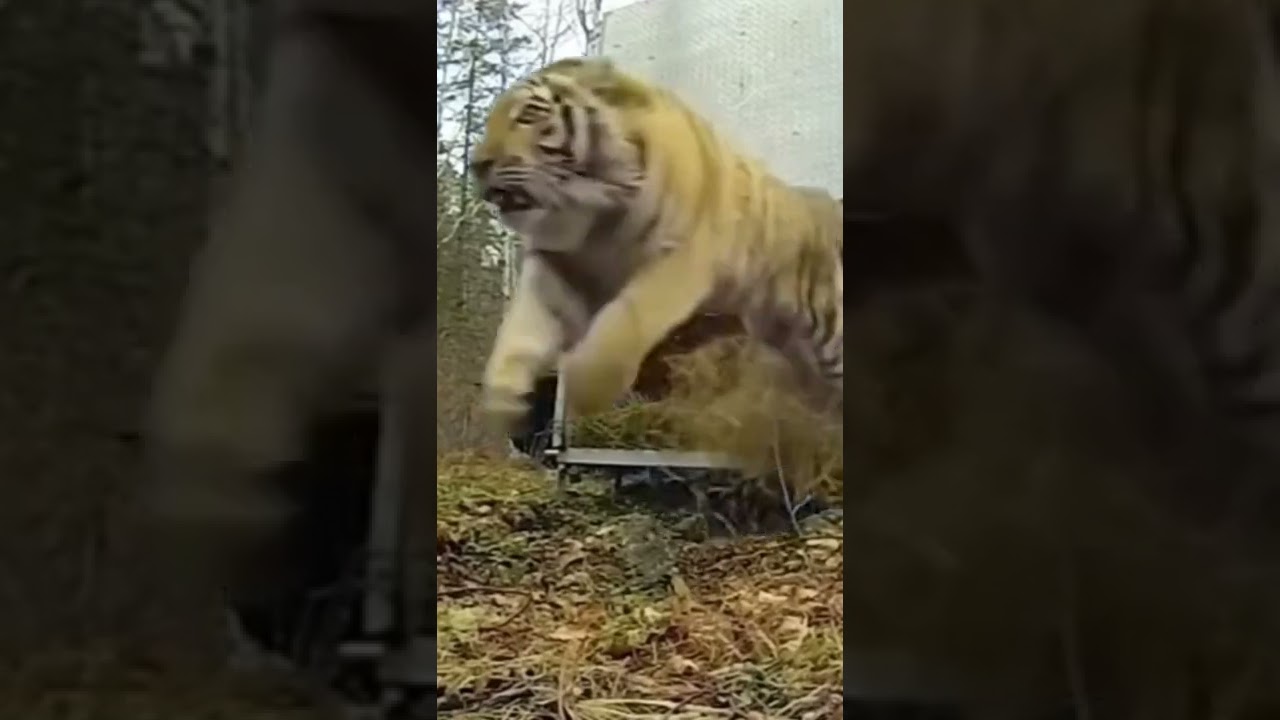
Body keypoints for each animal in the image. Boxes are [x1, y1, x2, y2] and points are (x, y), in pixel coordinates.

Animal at [470, 56, 844, 429]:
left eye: (528, 115)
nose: (476, 165)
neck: (591, 215)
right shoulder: (555, 264)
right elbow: (521, 331)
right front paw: (503, 402)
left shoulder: (677, 259)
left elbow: (621, 331)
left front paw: (582, 393)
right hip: (787, 341)